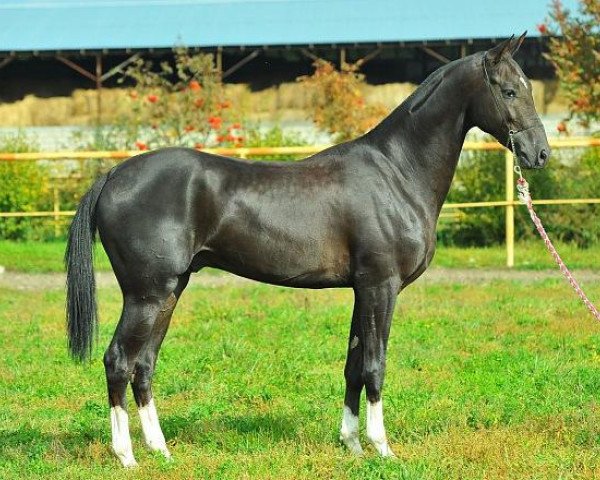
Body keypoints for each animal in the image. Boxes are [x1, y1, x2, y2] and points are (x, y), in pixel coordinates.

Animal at [64, 34, 548, 468]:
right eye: (509, 90)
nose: (539, 153)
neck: (397, 172)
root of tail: (113, 175)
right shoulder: (381, 287)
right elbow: (375, 365)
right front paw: (382, 449)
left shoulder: (361, 290)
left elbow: (354, 366)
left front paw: (353, 446)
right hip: (145, 295)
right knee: (118, 361)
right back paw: (127, 457)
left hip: (169, 292)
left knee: (143, 364)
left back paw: (161, 451)